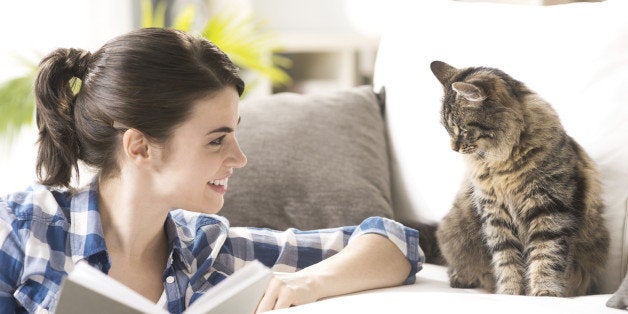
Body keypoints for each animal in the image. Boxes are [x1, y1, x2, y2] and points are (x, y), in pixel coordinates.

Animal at [432, 59, 608, 296]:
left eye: (462, 129)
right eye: (448, 129)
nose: (454, 148)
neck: (502, 163)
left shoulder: (548, 208)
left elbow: (545, 256)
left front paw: (544, 292)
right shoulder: (495, 213)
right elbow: (506, 258)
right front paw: (510, 293)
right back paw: (460, 278)